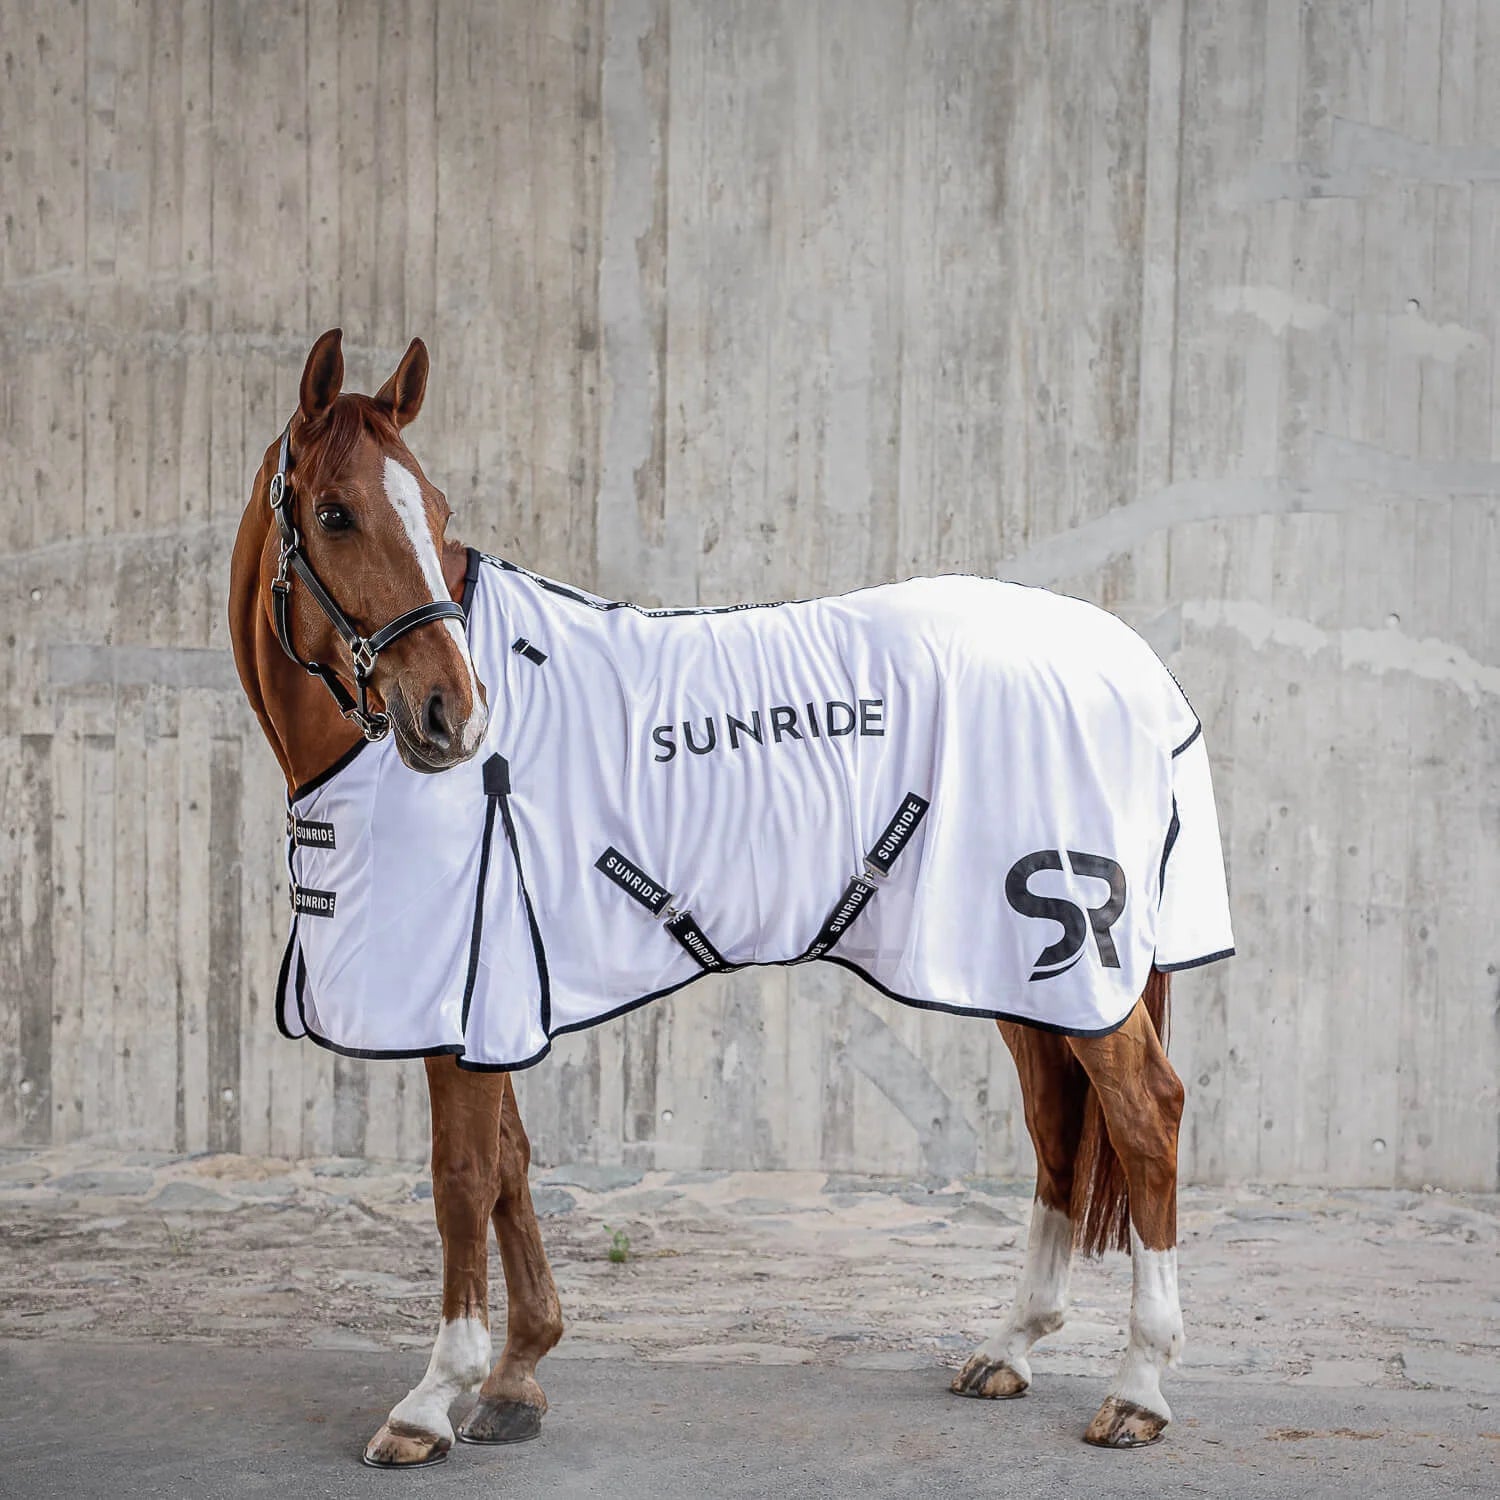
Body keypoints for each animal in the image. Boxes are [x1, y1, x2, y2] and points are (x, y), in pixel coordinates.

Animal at [229, 328, 1206, 1466]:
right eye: (337, 513)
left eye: (433, 508)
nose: (452, 715)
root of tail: (1130, 663)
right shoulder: (501, 990)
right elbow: (512, 1162)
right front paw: (518, 1378)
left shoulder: (464, 997)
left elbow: (462, 1178)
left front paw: (433, 1399)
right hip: (1012, 965)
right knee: (1058, 1122)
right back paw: (1010, 1348)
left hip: (1075, 956)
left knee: (1145, 1115)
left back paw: (1139, 1390)